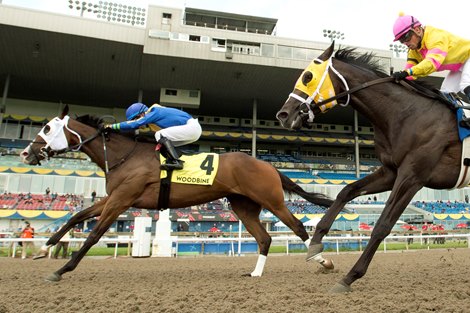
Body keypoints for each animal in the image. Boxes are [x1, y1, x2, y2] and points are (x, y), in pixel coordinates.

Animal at [20, 105, 332, 280]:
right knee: (265, 238)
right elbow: (75, 217)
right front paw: (43, 249)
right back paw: (255, 273)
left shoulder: (121, 200)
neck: (125, 156)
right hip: (243, 206)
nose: (25, 153)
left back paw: (324, 261)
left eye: (47, 128)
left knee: (297, 228)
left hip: (271, 200)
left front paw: (62, 270)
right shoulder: (112, 198)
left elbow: (94, 234)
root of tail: (267, 164)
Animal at [278, 42, 460, 292]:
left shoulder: (412, 176)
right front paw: (315, 243)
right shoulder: (390, 172)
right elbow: (346, 191)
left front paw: (350, 276)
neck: (406, 114)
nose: (283, 115)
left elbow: (382, 225)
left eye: (307, 77)